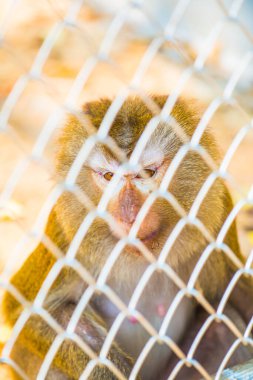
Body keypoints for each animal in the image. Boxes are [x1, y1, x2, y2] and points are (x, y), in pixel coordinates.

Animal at [1, 95, 253, 380]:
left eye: (148, 173)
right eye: (109, 176)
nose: (129, 213)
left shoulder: (216, 208)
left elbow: (235, 291)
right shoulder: (67, 234)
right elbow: (31, 312)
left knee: (223, 325)